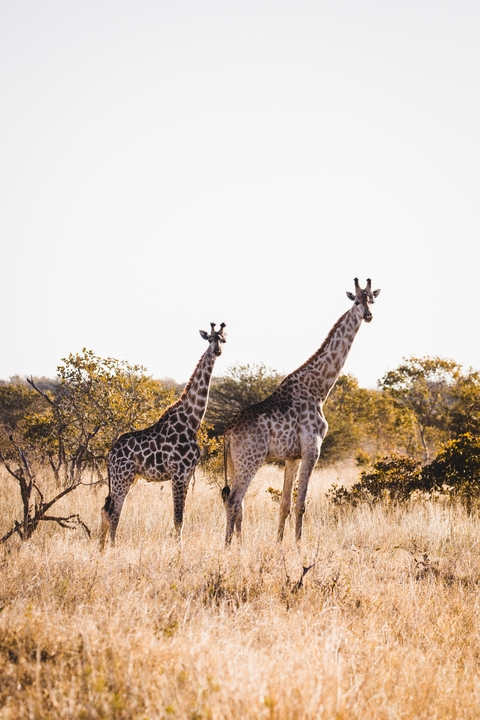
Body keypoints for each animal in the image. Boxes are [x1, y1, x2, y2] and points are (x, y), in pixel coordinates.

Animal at [100, 323, 226, 548]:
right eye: (210, 339)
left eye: (223, 340)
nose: (217, 351)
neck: (192, 422)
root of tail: (110, 453)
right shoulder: (179, 473)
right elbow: (178, 519)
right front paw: (179, 551)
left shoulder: (188, 474)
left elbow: (180, 518)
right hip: (123, 476)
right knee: (114, 511)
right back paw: (112, 547)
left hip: (126, 477)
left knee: (106, 508)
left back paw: (100, 548)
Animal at [222, 278, 380, 545]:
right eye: (357, 301)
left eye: (372, 299)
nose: (368, 316)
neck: (318, 389)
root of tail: (228, 433)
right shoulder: (311, 450)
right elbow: (301, 504)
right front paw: (298, 544)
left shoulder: (292, 456)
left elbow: (284, 503)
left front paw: (279, 544)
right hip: (250, 459)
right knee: (234, 500)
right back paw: (228, 546)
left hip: (235, 463)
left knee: (234, 502)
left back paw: (239, 545)